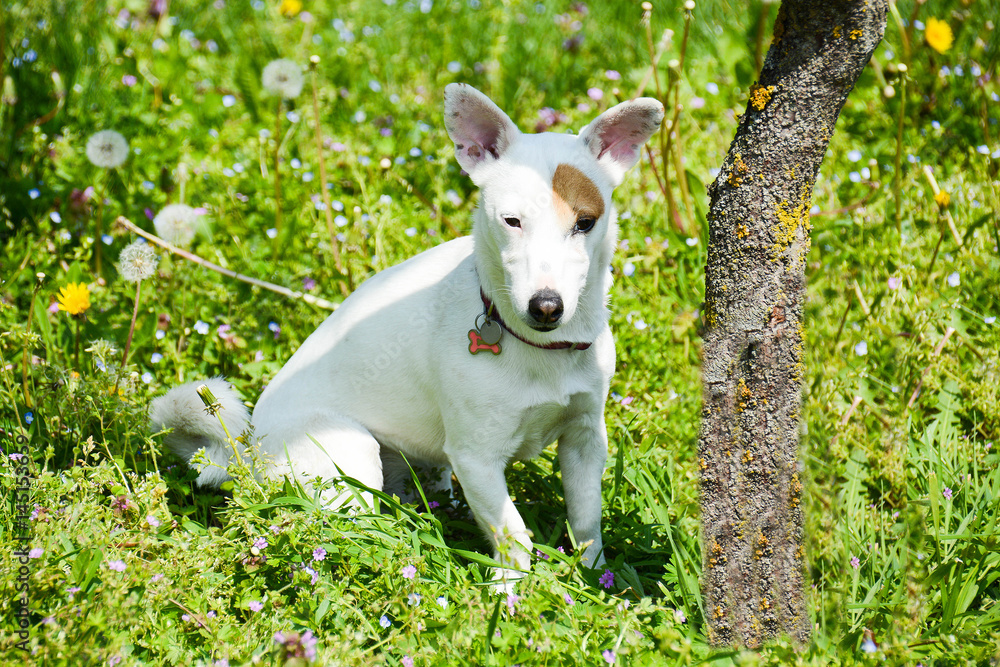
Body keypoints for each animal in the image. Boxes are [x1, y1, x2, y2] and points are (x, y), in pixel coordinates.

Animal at [150, 83, 664, 580]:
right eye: (512, 221)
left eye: (585, 223)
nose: (546, 306)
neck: (539, 348)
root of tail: (250, 451)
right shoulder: (477, 458)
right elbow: (513, 537)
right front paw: (514, 594)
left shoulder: (585, 440)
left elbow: (586, 522)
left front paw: (596, 582)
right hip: (351, 455)